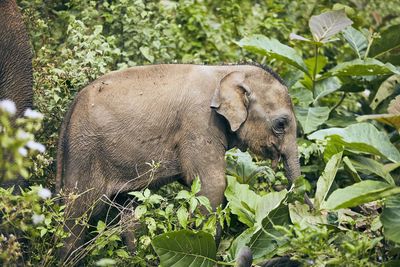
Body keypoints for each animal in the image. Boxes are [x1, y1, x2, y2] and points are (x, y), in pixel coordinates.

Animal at [56, 64, 300, 262]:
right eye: (280, 124)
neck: (227, 71)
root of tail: (71, 109)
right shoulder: (199, 123)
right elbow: (212, 185)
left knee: (127, 211)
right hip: (85, 150)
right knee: (78, 213)